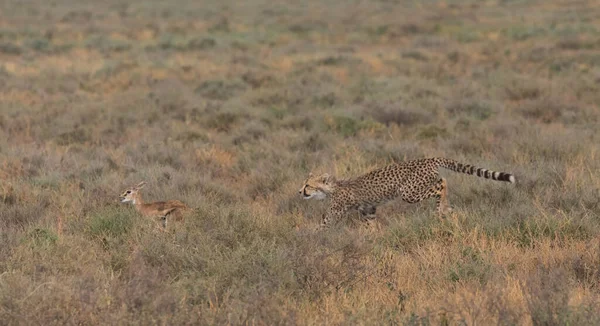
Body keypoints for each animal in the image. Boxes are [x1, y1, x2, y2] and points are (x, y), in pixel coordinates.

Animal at [300, 157, 516, 227]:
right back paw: (446, 208)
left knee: (442, 183)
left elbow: (321, 227)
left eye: (308, 185)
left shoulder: (334, 214)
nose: (299, 192)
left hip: (408, 192)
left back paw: (441, 209)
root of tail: (429, 158)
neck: (332, 187)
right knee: (443, 181)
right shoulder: (368, 210)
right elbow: (370, 226)